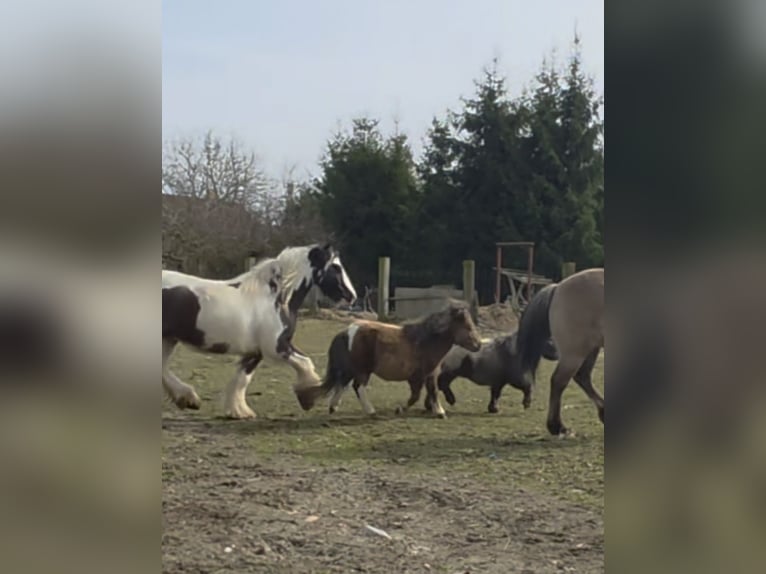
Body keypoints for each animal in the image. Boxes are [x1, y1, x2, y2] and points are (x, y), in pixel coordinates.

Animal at [162, 243, 357, 418]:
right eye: (335, 267)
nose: (352, 296)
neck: (277, 299)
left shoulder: (255, 352)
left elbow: (242, 380)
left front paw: (238, 411)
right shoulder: (276, 348)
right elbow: (306, 363)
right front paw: (307, 397)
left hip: (168, 339)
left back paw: (188, 399)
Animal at [312, 300, 482, 418]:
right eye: (468, 327)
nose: (478, 345)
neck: (426, 341)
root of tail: (347, 331)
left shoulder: (423, 376)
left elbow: (424, 393)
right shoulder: (424, 375)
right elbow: (423, 394)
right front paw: (438, 412)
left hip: (351, 369)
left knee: (342, 384)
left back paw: (333, 407)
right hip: (363, 370)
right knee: (358, 387)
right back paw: (371, 411)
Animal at [516, 267, 604, 436]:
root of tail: (557, 287)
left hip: (590, 349)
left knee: (582, 377)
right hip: (574, 353)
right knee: (559, 381)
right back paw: (557, 426)